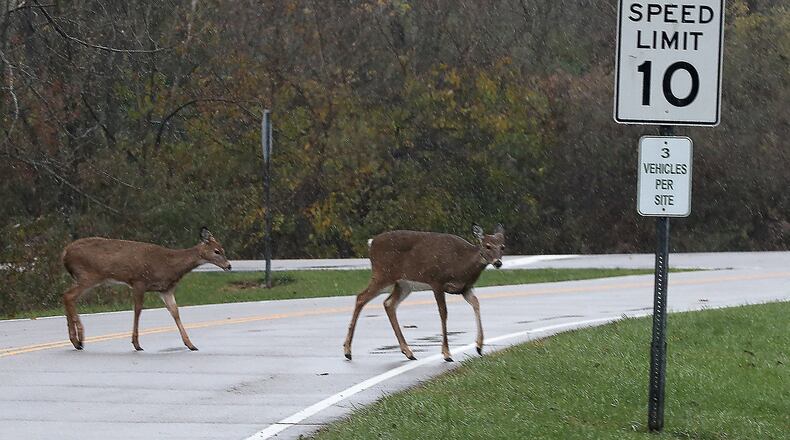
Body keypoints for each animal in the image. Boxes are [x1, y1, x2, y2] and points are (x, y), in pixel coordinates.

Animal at [60, 227, 231, 351]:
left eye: (223, 249)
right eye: (217, 251)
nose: (229, 266)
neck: (170, 265)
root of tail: (65, 252)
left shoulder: (165, 290)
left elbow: (175, 312)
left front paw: (190, 344)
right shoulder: (139, 282)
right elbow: (138, 310)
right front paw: (136, 343)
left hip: (84, 277)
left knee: (66, 295)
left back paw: (75, 341)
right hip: (88, 275)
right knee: (69, 295)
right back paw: (79, 339)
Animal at [343, 223, 505, 362]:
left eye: (502, 247)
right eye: (487, 246)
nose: (498, 263)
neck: (461, 264)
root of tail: (371, 243)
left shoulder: (465, 288)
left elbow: (476, 303)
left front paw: (479, 346)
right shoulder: (437, 282)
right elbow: (443, 312)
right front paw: (446, 354)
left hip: (403, 284)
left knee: (388, 303)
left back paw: (408, 352)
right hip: (383, 274)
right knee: (361, 297)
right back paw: (347, 351)